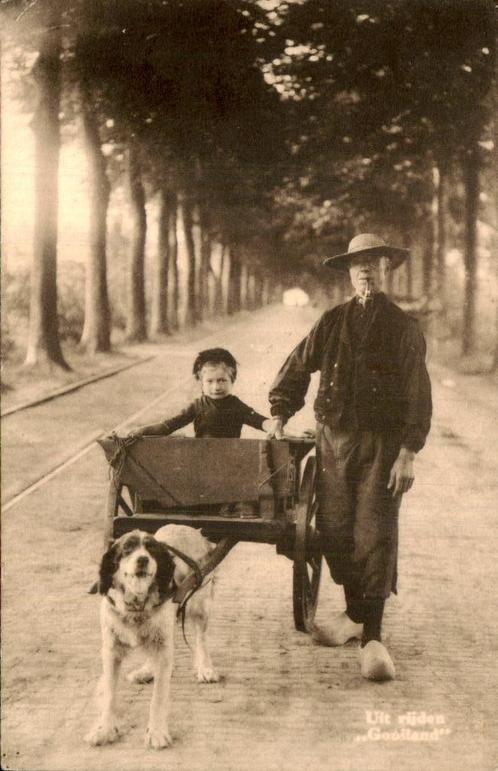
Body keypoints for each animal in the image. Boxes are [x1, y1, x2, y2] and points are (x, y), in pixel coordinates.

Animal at [85, 524, 220, 748]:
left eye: (151, 549)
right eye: (127, 549)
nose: (143, 559)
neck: (135, 608)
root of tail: (190, 527)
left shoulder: (164, 644)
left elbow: (158, 697)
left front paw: (156, 732)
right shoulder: (111, 650)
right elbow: (110, 695)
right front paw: (105, 729)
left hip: (199, 605)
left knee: (201, 638)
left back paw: (205, 668)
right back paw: (146, 671)